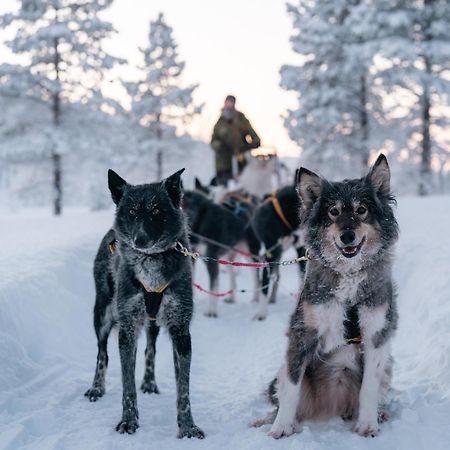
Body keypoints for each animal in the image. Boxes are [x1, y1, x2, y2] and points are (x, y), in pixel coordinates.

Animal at [84, 169, 204, 440]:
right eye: (131, 211)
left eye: (157, 211)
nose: (140, 240)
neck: (150, 263)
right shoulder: (127, 329)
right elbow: (127, 386)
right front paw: (129, 421)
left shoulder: (181, 331)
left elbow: (184, 388)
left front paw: (187, 427)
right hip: (103, 316)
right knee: (102, 354)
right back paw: (97, 387)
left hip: (152, 324)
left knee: (151, 347)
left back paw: (149, 382)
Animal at [255, 156, 400, 440]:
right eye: (333, 211)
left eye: (361, 209)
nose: (347, 236)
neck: (349, 275)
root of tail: (332, 405)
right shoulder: (303, 332)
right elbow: (291, 389)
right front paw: (280, 428)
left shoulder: (377, 334)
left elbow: (369, 387)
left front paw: (367, 425)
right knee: (283, 392)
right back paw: (271, 420)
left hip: (387, 366)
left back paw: (378, 414)